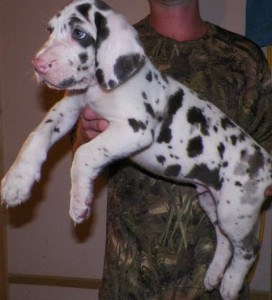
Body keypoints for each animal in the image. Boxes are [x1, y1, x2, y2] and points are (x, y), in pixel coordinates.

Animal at [1, 1, 270, 298]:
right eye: (50, 31)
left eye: (79, 34)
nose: (38, 65)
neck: (99, 87)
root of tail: (264, 160)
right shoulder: (68, 111)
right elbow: (36, 136)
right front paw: (17, 181)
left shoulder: (135, 129)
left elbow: (84, 154)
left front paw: (80, 201)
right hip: (213, 202)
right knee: (224, 240)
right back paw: (213, 276)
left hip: (237, 212)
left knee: (248, 249)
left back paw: (231, 283)